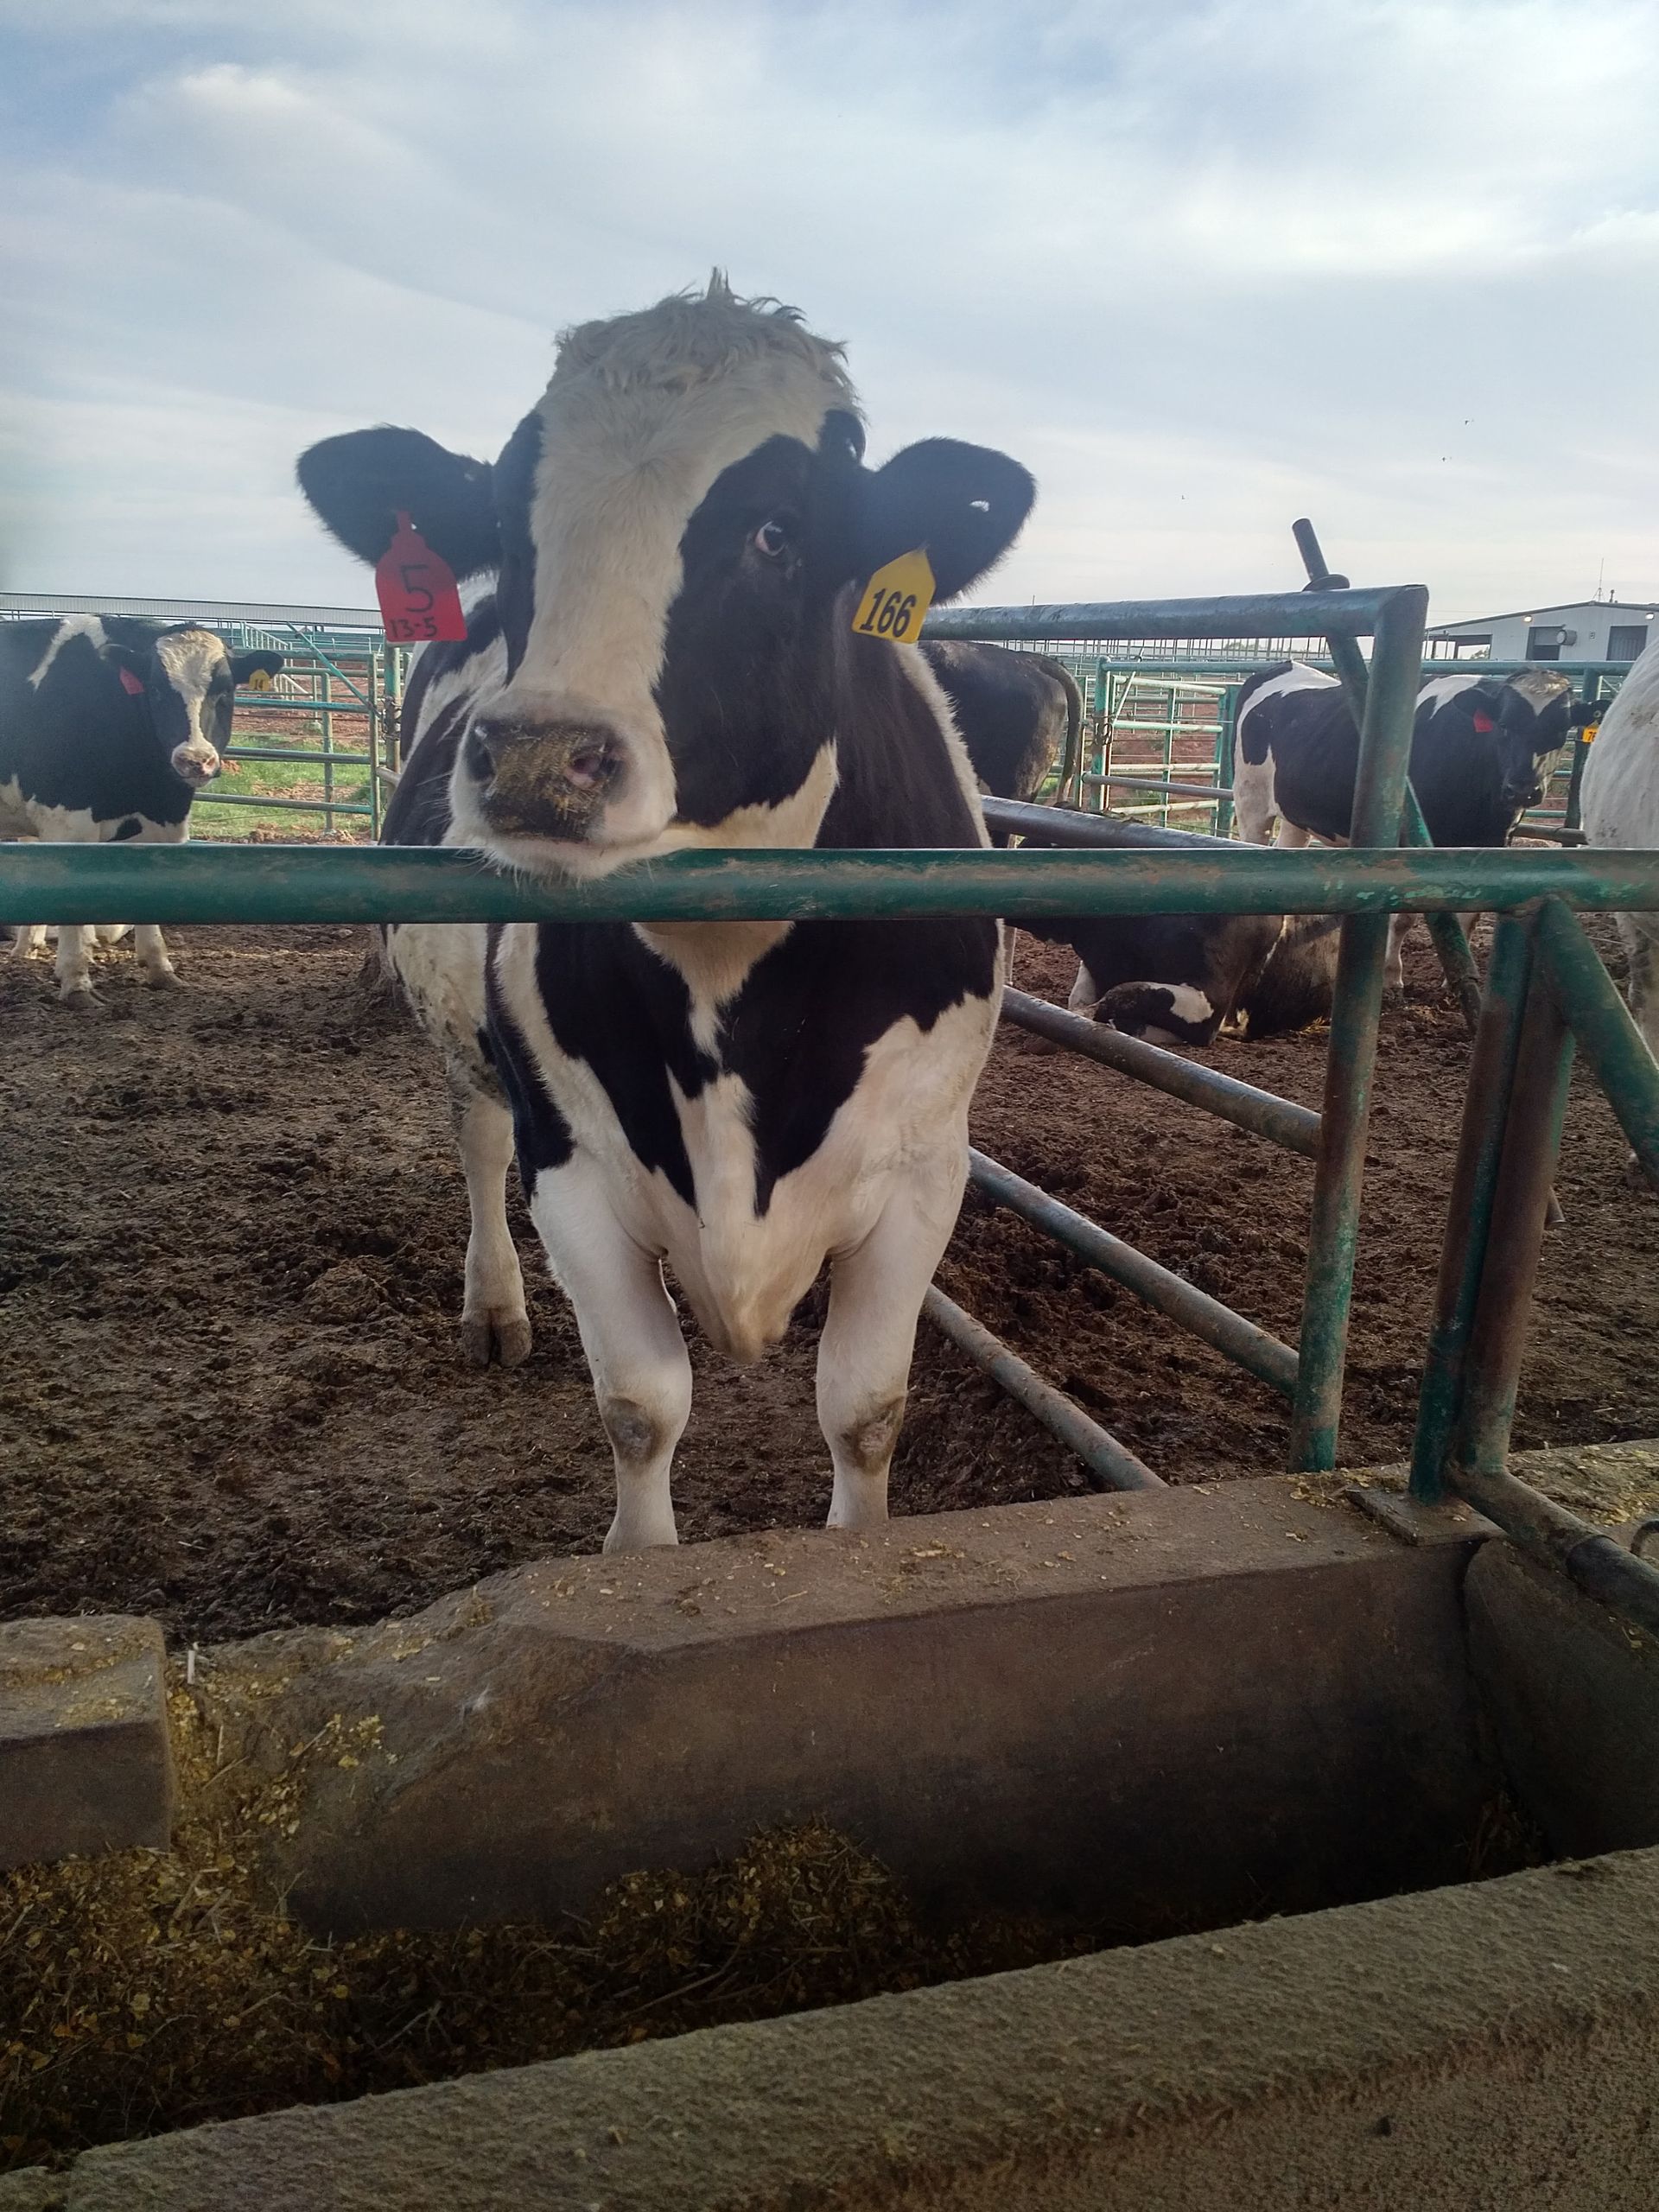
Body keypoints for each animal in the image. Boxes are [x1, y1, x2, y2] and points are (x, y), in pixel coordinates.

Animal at [0, 616, 284, 997]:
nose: (195, 760)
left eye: (225, 692)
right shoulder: (66, 821)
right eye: (157, 691)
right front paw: (76, 981)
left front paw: (160, 968)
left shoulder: (161, 819)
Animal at [296, 277, 1034, 1551]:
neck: (727, 960)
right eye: (511, 524)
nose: (535, 756)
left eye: (778, 531)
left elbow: (865, 1410)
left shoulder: (925, 1171)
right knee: (476, 1136)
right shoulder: (575, 1169)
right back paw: (493, 1306)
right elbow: (642, 1409)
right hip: (474, 1049)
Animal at [1232, 659, 1581, 988]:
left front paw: (1457, 977)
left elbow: (1470, 916)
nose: (1523, 788)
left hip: (1297, 813)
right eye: (1505, 725)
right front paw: (1390, 974)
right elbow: (1403, 918)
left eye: (1562, 731)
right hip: (1251, 802)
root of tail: (1286, 664)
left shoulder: (1494, 842)